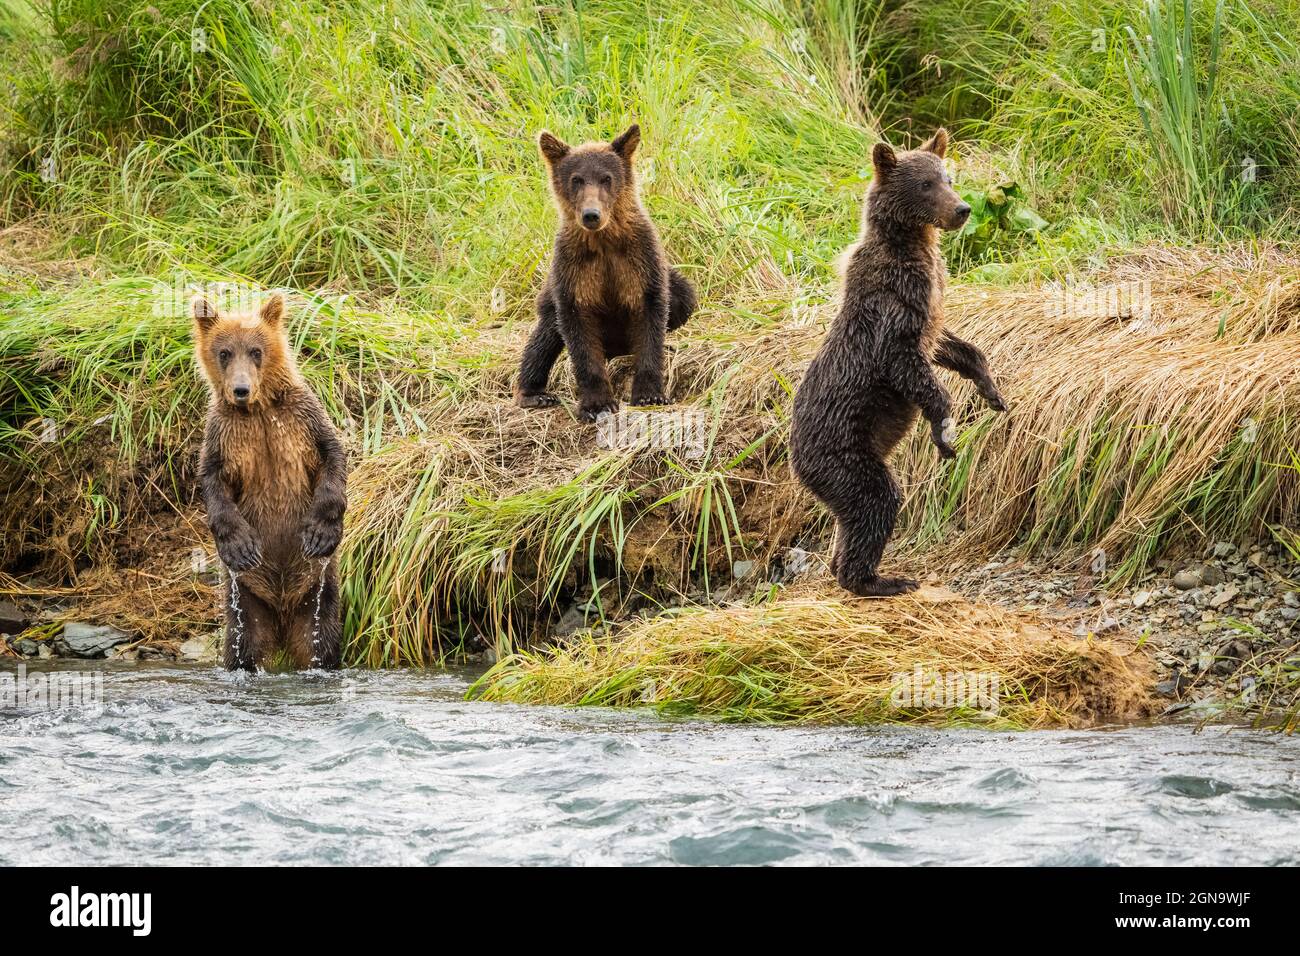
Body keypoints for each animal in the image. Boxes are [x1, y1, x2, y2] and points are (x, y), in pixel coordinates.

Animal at [192, 293, 348, 670]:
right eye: (224, 352)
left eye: (255, 350)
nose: (240, 389)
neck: (259, 410)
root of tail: (282, 613)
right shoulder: (224, 435)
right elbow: (213, 481)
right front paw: (240, 546)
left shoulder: (300, 419)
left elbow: (332, 455)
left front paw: (320, 533)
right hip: (245, 598)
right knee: (242, 644)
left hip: (318, 594)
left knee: (321, 642)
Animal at [515, 123, 697, 421]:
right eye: (577, 179)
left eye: (606, 178)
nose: (591, 214)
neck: (603, 241)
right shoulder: (574, 268)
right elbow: (578, 329)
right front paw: (597, 404)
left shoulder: (639, 259)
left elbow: (652, 314)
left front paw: (649, 394)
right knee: (544, 335)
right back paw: (534, 394)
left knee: (683, 296)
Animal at [789, 128, 1007, 597]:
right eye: (926, 184)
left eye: (948, 176)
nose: (962, 209)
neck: (911, 245)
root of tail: (795, 460)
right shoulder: (892, 308)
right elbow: (907, 365)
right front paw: (945, 432)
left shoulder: (930, 306)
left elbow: (951, 346)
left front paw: (991, 391)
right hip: (844, 453)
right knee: (877, 499)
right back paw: (881, 579)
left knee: (849, 517)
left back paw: (844, 565)